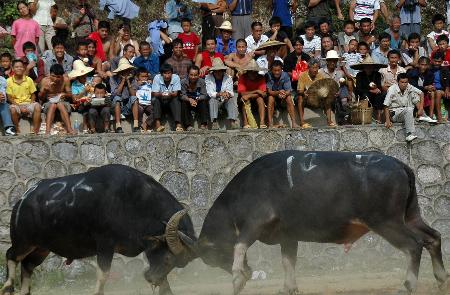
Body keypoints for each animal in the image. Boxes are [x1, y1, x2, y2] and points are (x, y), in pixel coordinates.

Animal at [0, 165, 196, 294]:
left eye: (178, 263)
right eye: (168, 258)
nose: (151, 279)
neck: (136, 202)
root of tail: (23, 199)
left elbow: (165, 284)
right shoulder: (105, 245)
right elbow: (103, 275)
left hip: (41, 248)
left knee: (27, 265)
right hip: (23, 242)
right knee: (11, 255)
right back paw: (8, 287)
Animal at [198, 151, 450, 295]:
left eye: (215, 257)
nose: (250, 273)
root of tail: (401, 165)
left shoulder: (255, 224)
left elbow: (239, 246)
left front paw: (237, 278)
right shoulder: (288, 236)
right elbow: (288, 262)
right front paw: (288, 288)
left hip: (386, 221)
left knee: (414, 245)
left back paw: (407, 285)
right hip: (410, 216)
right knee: (433, 238)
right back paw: (441, 279)